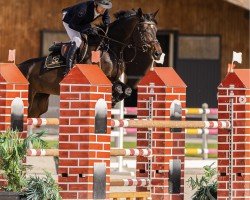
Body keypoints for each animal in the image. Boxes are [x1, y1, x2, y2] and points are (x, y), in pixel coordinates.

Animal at [17, 8, 162, 117]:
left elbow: (126, 90)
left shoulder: (114, 79)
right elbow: (118, 88)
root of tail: (20, 66)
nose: (158, 53)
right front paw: (112, 99)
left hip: (39, 101)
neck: (111, 48)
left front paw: (113, 100)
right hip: (29, 98)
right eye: (143, 30)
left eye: (155, 30)